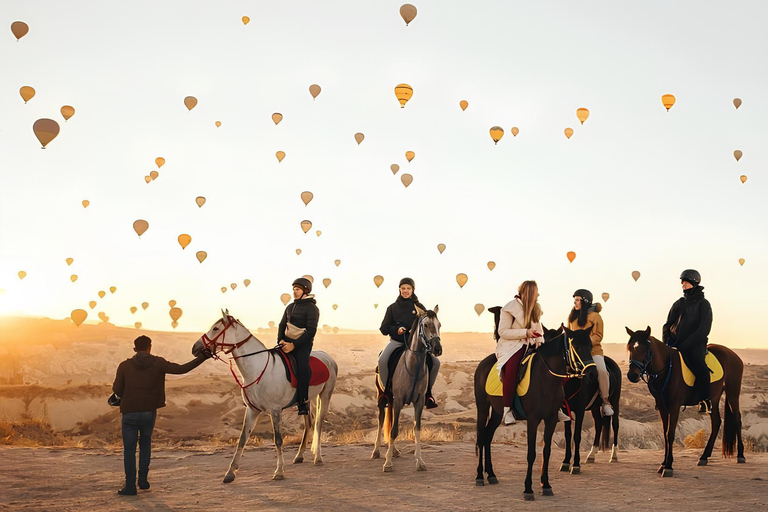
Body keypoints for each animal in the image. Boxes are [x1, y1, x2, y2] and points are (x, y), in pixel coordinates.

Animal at [192, 310, 336, 482]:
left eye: (215, 328)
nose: (195, 348)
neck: (258, 369)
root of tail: (328, 357)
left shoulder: (275, 410)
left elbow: (278, 440)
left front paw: (279, 471)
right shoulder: (252, 410)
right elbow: (242, 439)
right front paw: (230, 472)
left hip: (325, 395)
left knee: (318, 424)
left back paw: (318, 458)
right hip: (305, 401)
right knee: (309, 424)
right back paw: (299, 456)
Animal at [474, 324, 592, 500]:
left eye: (591, 346)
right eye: (576, 347)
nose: (592, 373)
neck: (546, 378)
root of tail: (482, 364)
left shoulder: (551, 420)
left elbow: (546, 452)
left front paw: (546, 485)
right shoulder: (533, 420)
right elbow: (531, 454)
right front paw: (528, 489)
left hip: (496, 411)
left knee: (488, 436)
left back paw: (491, 474)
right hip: (482, 407)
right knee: (482, 437)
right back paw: (480, 476)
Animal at [624, 326, 744, 478]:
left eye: (645, 350)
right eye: (630, 348)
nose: (632, 375)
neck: (666, 368)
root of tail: (733, 355)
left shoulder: (674, 406)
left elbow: (670, 434)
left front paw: (668, 466)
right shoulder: (662, 407)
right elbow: (665, 434)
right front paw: (663, 464)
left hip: (733, 393)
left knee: (737, 419)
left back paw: (741, 455)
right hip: (714, 398)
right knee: (716, 422)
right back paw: (704, 457)